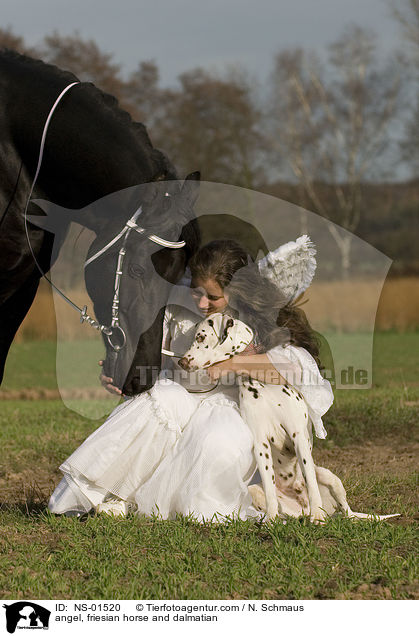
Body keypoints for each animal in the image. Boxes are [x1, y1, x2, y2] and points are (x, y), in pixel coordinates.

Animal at [178, 310, 400, 524]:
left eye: (200, 337)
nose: (181, 361)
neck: (260, 383)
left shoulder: (298, 436)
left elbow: (310, 481)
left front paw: (317, 517)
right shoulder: (261, 443)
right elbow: (269, 489)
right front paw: (271, 519)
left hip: (329, 476)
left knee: (346, 511)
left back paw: (324, 514)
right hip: (255, 490)